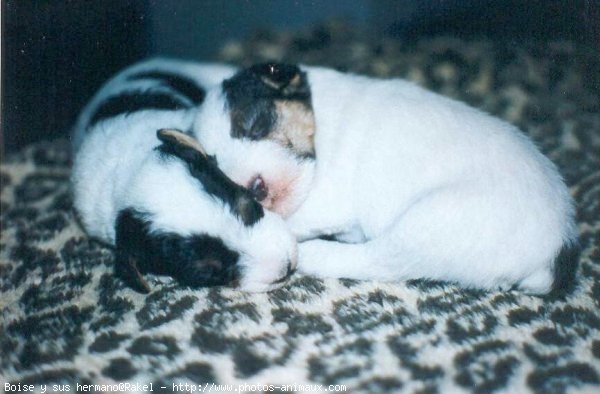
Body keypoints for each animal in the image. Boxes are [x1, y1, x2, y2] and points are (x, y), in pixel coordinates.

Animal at [191, 62, 576, 296]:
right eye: (217, 165)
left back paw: (311, 253)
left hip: (431, 223)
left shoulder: (327, 198)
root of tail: (557, 248)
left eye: (256, 126)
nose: (256, 190)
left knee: (377, 260)